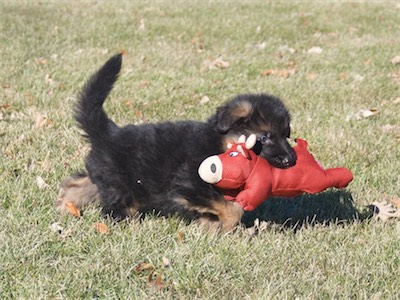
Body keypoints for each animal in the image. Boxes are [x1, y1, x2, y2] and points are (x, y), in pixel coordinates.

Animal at [56, 54, 296, 231]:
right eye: (264, 137)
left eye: (287, 134)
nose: (291, 161)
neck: (219, 143)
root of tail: (108, 132)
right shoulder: (189, 185)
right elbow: (231, 208)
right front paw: (224, 227)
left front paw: (209, 226)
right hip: (123, 187)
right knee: (115, 209)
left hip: (104, 177)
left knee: (77, 184)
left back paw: (65, 205)